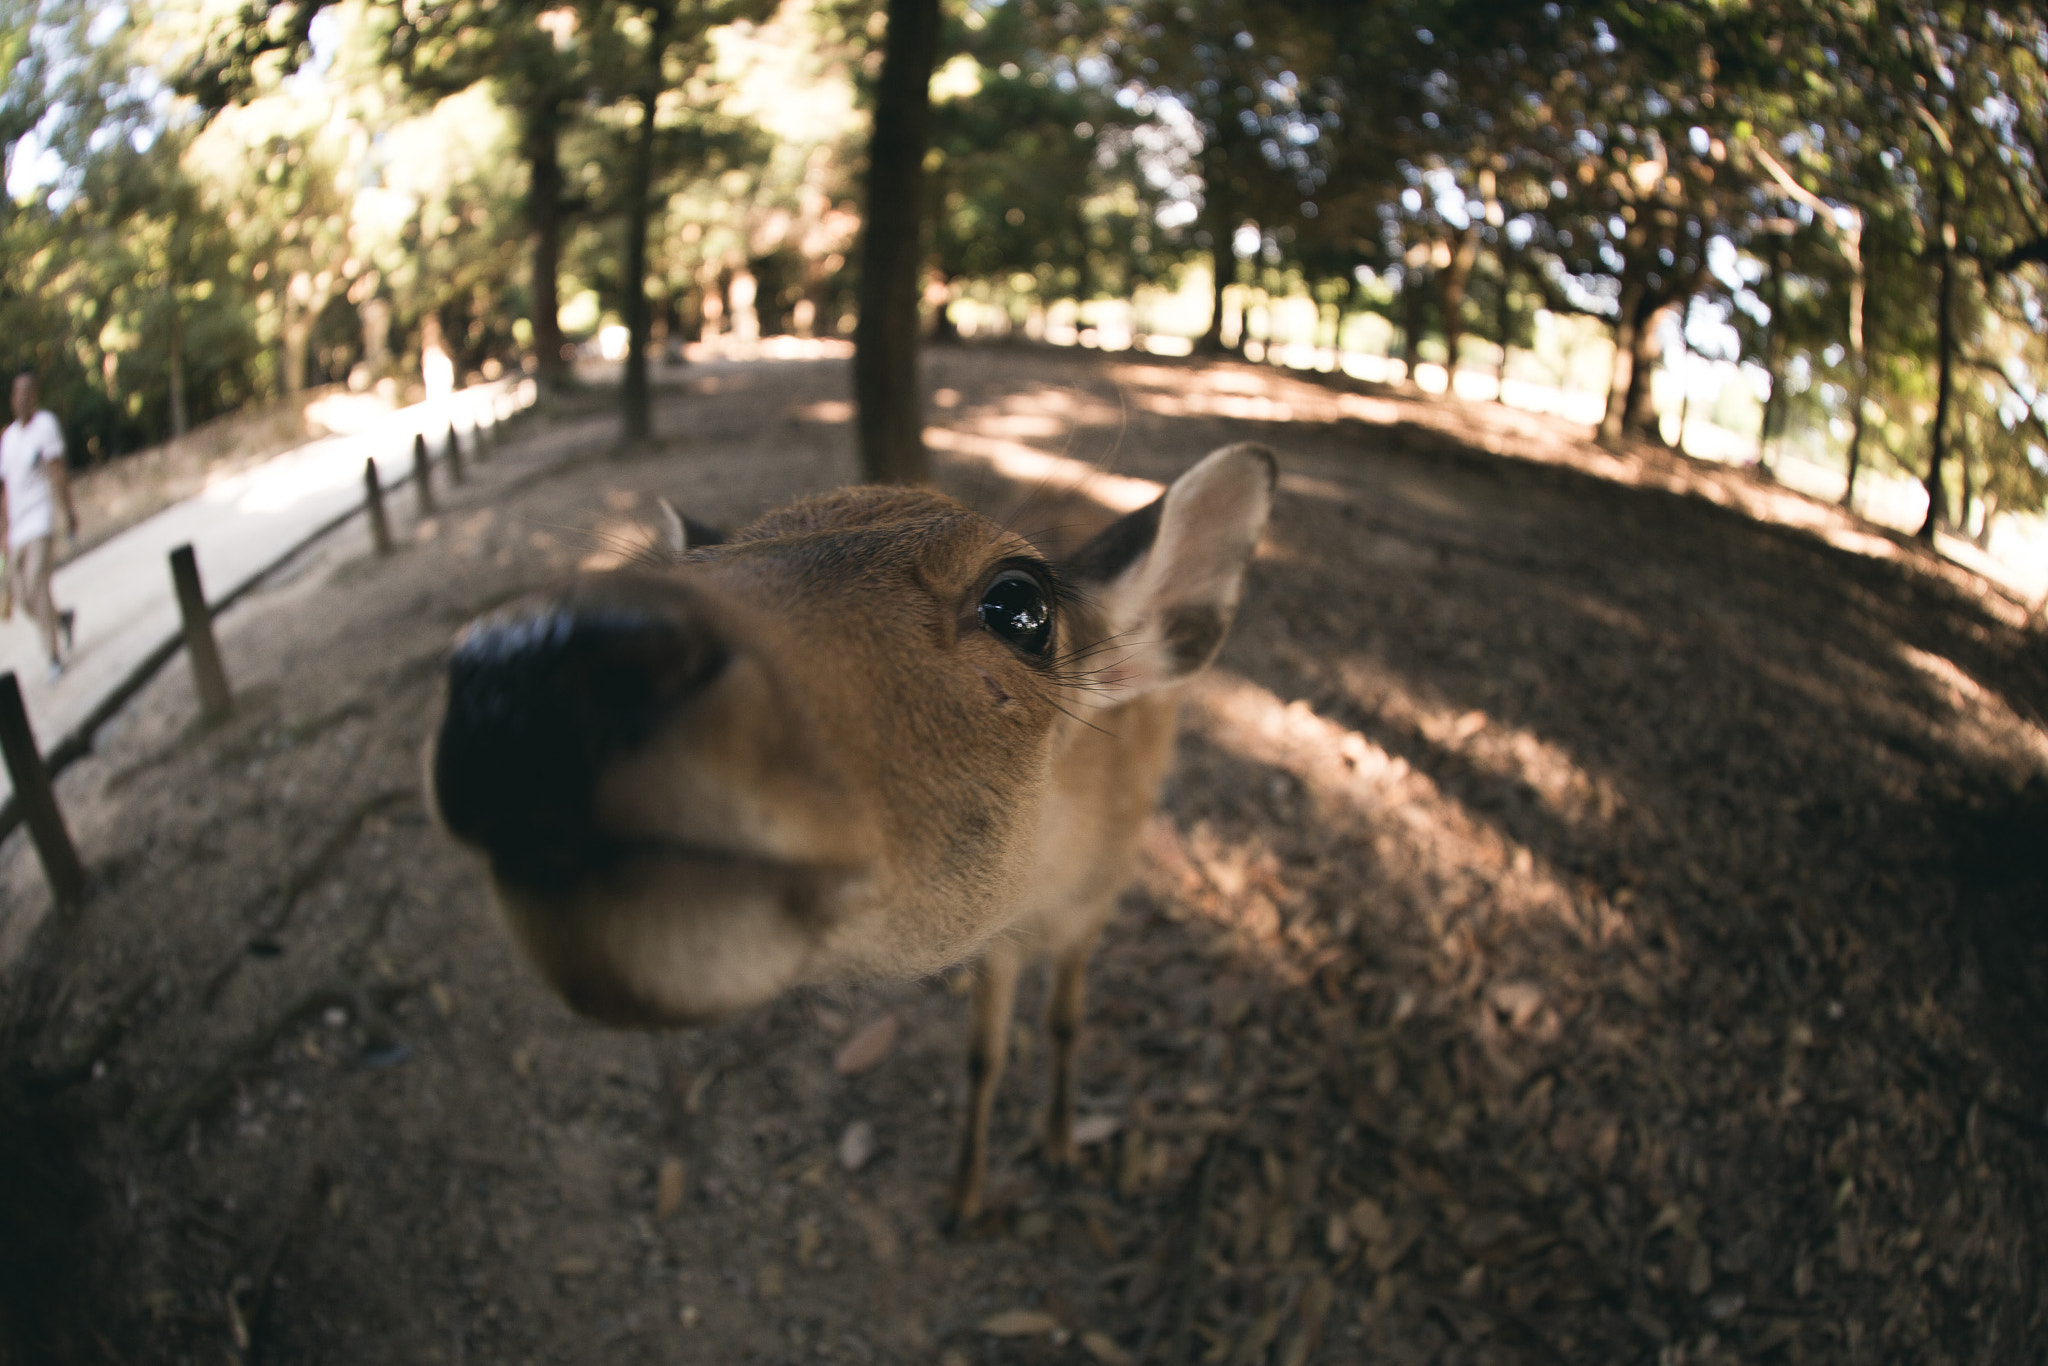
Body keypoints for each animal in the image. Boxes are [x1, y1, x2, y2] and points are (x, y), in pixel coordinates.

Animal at [425, 444, 1269, 1220]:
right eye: (685, 565)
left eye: (1020, 607)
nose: (528, 662)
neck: (1055, 896)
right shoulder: (1001, 938)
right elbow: (983, 1053)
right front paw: (964, 1196)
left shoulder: (1102, 901)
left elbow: (1066, 1022)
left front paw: (1059, 1148)